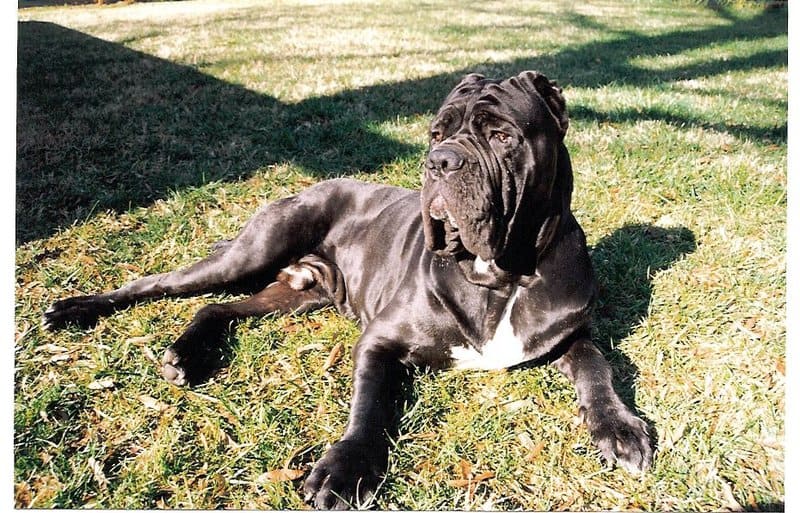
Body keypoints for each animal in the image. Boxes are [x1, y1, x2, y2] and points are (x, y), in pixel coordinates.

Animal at [43, 71, 652, 508]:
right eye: (436, 133)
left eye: (503, 136)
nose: (440, 161)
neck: (500, 274)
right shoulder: (380, 341)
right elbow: (370, 405)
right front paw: (346, 468)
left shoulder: (571, 334)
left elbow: (598, 365)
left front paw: (620, 427)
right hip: (250, 253)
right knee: (155, 285)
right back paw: (75, 309)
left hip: (294, 294)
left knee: (220, 308)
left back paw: (188, 355)